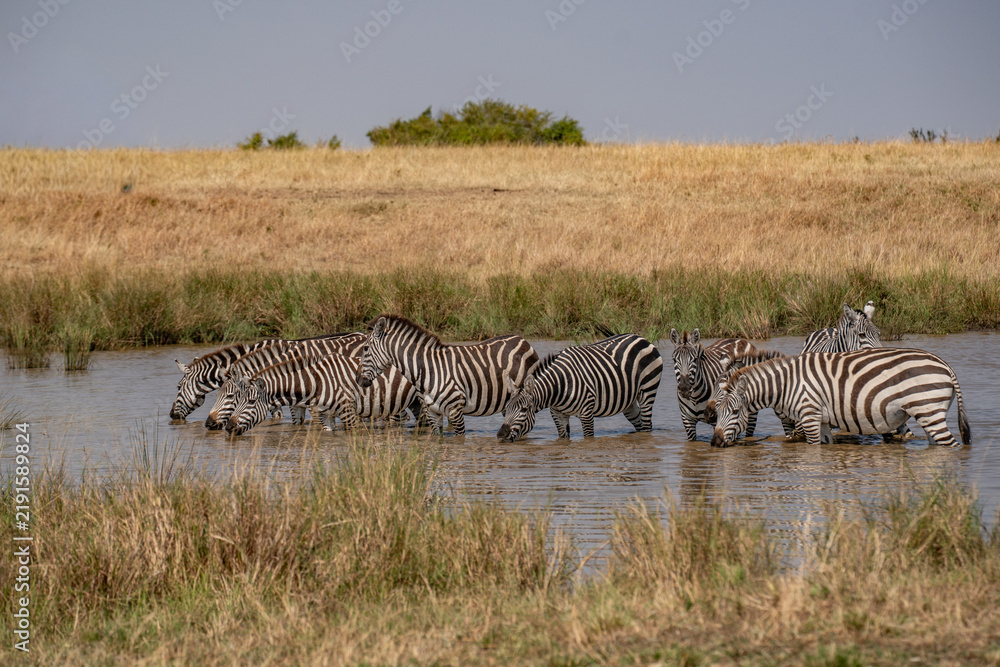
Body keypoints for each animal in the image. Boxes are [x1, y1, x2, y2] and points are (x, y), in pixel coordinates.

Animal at [225, 349, 418, 436]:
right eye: (237, 400)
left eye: (251, 402)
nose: (228, 428)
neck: (316, 382)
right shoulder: (326, 415)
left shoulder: (347, 411)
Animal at [356, 315, 539, 435]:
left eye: (365, 348)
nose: (358, 379)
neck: (428, 370)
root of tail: (522, 340)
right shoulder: (432, 413)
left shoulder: (455, 411)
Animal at [496, 334, 662, 441]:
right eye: (505, 409)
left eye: (524, 409)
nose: (501, 435)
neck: (558, 387)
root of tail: (641, 338)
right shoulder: (558, 414)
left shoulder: (586, 413)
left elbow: (588, 439)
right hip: (628, 401)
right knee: (640, 425)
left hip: (648, 390)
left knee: (647, 426)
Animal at [709, 348, 971, 448]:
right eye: (718, 412)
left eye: (735, 412)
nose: (714, 442)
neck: (787, 384)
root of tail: (945, 365)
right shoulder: (823, 420)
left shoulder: (810, 415)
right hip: (929, 415)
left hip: (928, 410)